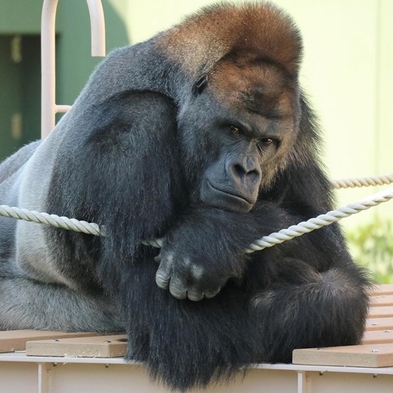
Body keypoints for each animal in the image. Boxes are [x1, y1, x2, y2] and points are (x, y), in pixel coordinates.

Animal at [0, 2, 368, 388]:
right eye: (232, 129)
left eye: (267, 141)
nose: (246, 171)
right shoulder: (131, 128)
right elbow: (183, 329)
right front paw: (211, 239)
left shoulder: (298, 125)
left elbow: (324, 246)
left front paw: (212, 238)